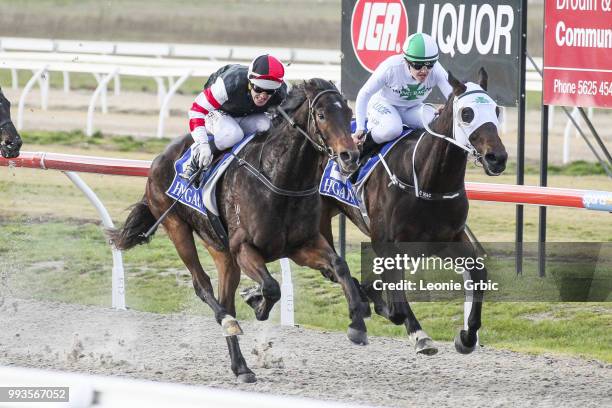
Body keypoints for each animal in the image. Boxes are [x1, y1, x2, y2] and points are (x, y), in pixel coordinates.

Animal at [110, 79, 368, 382]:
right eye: (322, 115)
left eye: (348, 113)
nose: (350, 156)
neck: (280, 179)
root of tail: (159, 158)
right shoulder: (244, 248)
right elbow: (271, 287)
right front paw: (256, 301)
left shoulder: (302, 245)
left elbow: (339, 266)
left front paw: (357, 325)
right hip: (176, 226)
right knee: (203, 286)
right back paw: (228, 323)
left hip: (220, 250)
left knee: (225, 297)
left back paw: (241, 366)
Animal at [320, 68, 506, 356]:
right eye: (467, 113)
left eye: (496, 110)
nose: (497, 158)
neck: (426, 182)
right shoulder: (387, 244)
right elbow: (395, 306)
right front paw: (418, 334)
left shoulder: (448, 239)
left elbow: (478, 274)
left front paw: (467, 336)